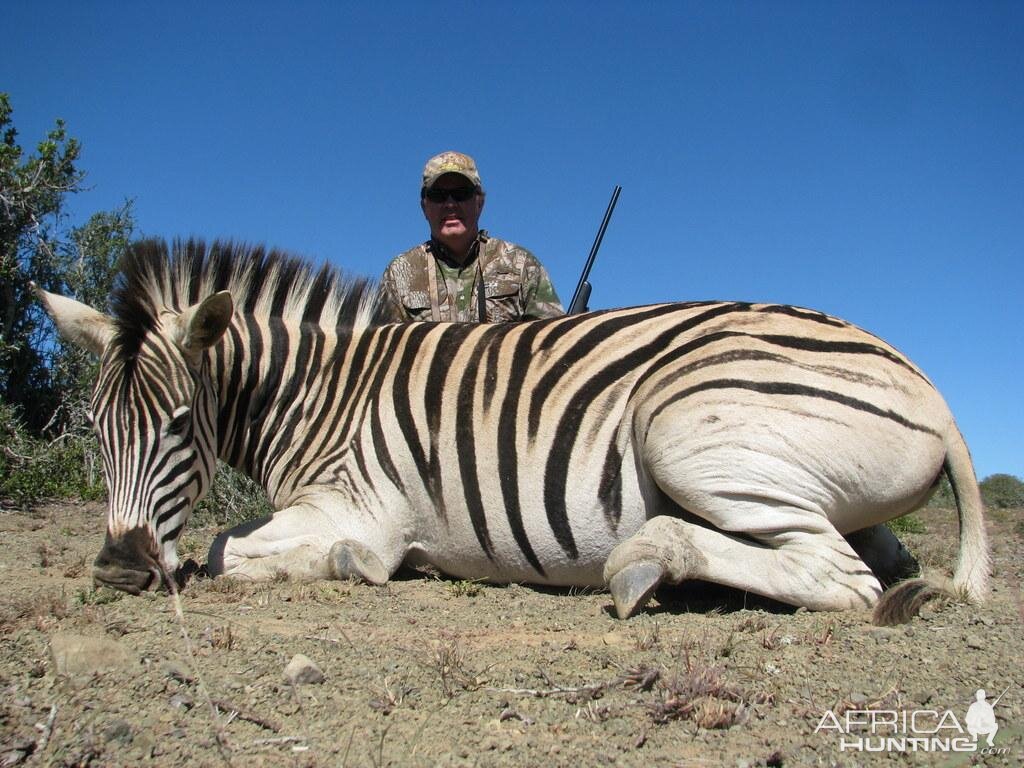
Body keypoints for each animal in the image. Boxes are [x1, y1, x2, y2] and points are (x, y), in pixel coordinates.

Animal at [36, 240, 987, 626]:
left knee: (839, 579)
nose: (116, 568)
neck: (320, 394)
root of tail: (931, 391)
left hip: (682, 427)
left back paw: (649, 562)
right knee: (884, 560)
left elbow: (224, 549)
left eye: (178, 424)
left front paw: (352, 565)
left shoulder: (357, 506)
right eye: (95, 431)